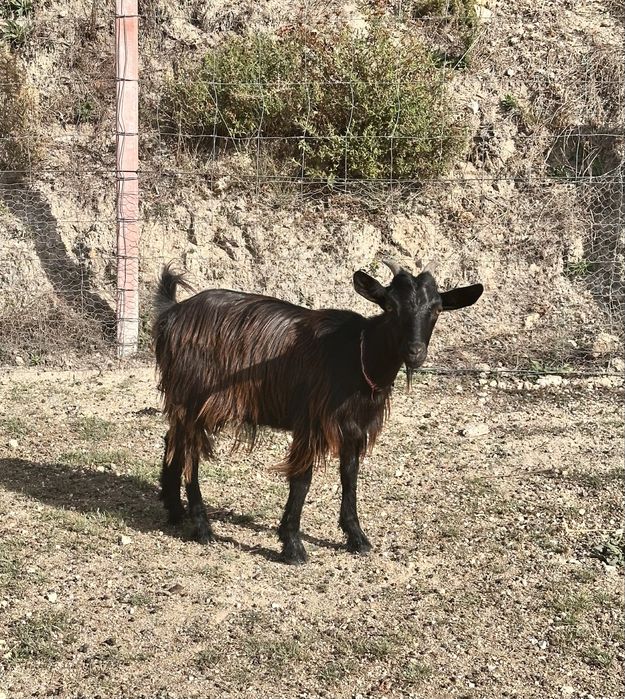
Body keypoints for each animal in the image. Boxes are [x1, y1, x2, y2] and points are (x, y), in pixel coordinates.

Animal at [152, 260, 483, 563]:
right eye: (389, 306)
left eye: (437, 309)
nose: (415, 352)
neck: (359, 355)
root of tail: (171, 314)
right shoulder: (311, 423)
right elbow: (302, 480)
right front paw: (293, 545)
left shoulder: (354, 427)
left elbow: (350, 476)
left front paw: (357, 537)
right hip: (194, 398)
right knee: (190, 452)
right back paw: (202, 527)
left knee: (173, 440)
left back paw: (174, 509)